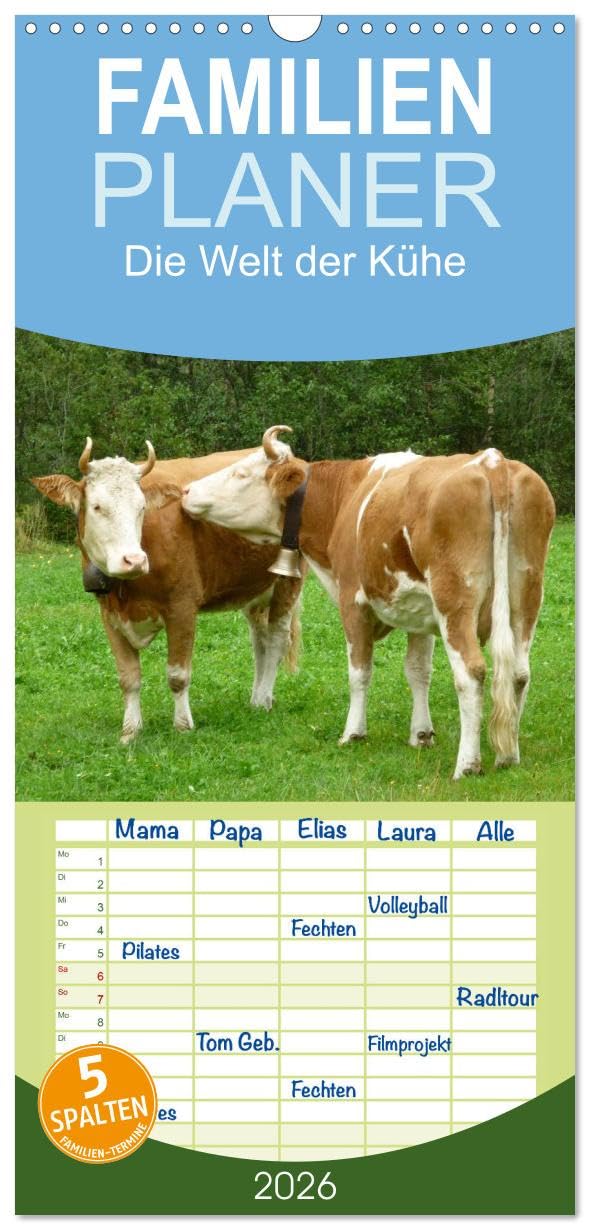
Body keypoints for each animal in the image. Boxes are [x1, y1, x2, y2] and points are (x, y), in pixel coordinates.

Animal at [31, 439, 303, 744]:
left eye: (141, 508)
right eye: (98, 507)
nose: (133, 560)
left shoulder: (182, 608)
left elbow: (177, 674)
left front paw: (183, 725)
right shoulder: (109, 615)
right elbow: (128, 678)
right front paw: (130, 731)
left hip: (288, 581)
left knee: (277, 639)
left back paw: (264, 699)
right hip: (254, 589)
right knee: (260, 641)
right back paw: (256, 698)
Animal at [181, 426, 556, 780]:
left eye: (241, 473)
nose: (186, 491)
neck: (343, 498)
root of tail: (492, 462)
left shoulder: (353, 601)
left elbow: (359, 671)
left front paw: (353, 733)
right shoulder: (420, 614)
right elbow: (418, 671)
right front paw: (421, 734)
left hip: (455, 602)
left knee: (471, 673)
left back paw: (467, 764)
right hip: (526, 598)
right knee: (519, 673)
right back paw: (508, 755)